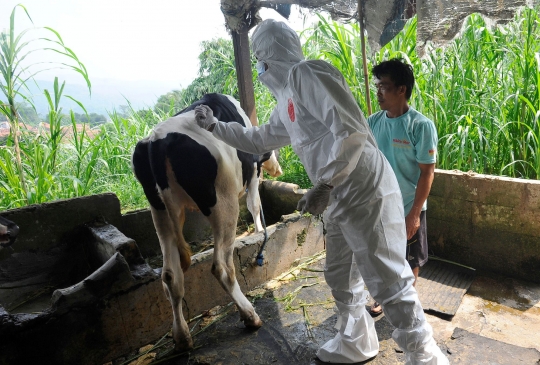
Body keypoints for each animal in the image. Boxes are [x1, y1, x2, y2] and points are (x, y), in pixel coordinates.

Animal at [131, 93, 282, 350]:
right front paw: (259, 229)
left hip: (159, 211)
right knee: (221, 266)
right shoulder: (252, 172)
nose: (279, 171)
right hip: (223, 203)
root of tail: (156, 142)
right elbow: (254, 203)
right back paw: (250, 316)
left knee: (170, 276)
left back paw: (182, 337)